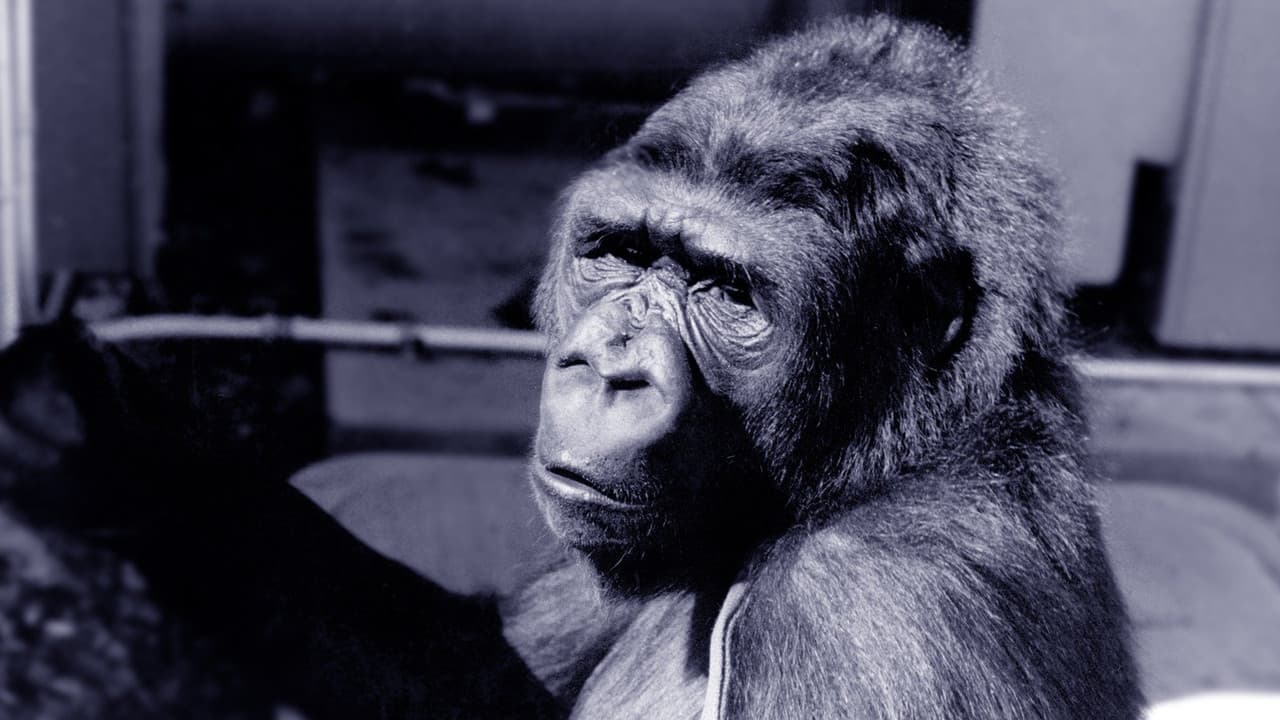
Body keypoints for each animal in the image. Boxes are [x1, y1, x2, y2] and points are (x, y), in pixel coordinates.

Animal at [0, 15, 1141, 719]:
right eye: (621, 253)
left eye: (728, 293)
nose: (607, 366)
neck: (879, 463)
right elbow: (472, 672)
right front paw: (116, 448)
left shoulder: (871, 618)